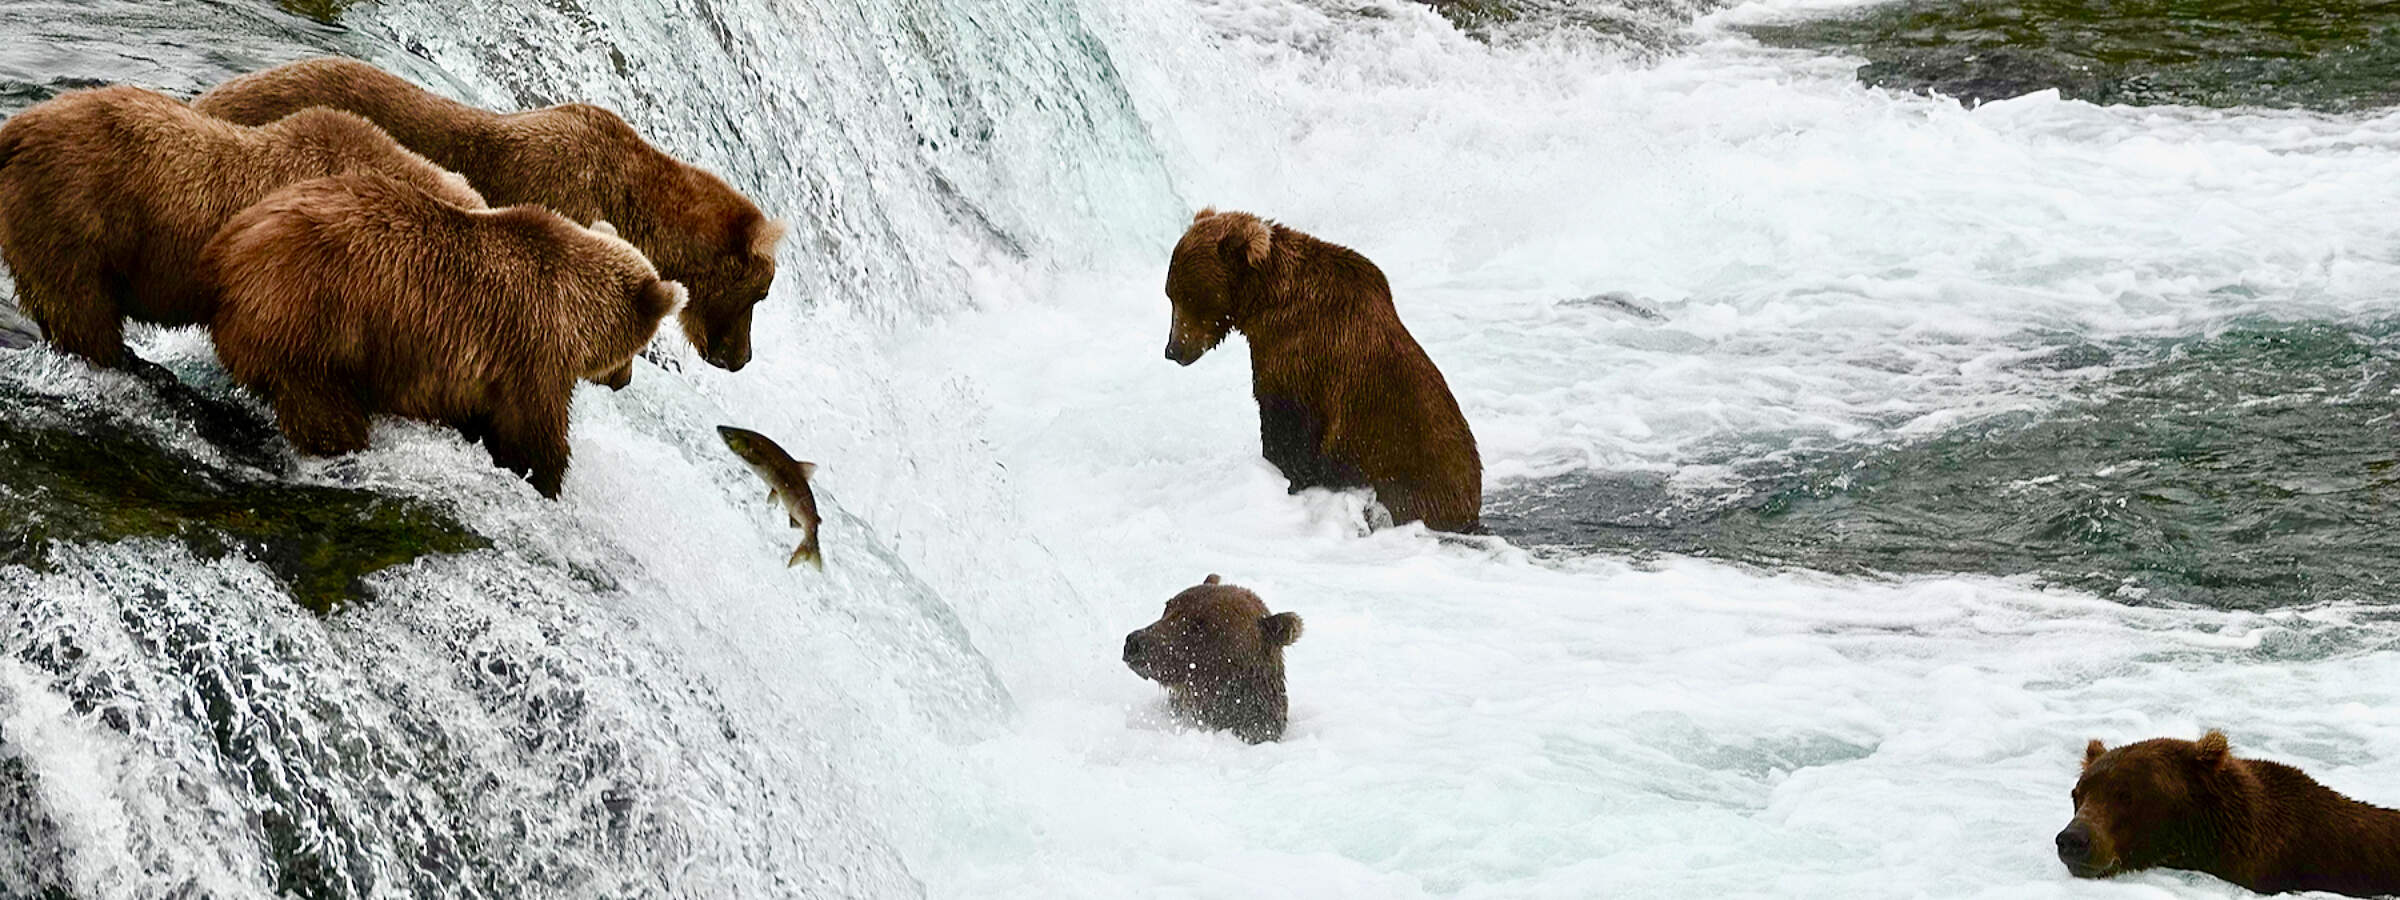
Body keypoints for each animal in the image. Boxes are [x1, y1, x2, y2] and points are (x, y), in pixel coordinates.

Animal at [201, 170, 684, 499]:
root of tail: (229, 248)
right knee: (322, 407)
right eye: (640, 347)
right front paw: (546, 480)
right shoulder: (532, 350)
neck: (574, 307)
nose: (625, 380)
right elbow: (532, 433)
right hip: (318, 322)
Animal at [1162, 208, 1481, 532]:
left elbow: (1287, 427)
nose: (1173, 350)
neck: (1263, 299)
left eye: (1189, 296)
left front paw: (1284, 476)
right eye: (1170, 294)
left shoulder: (1299, 353)